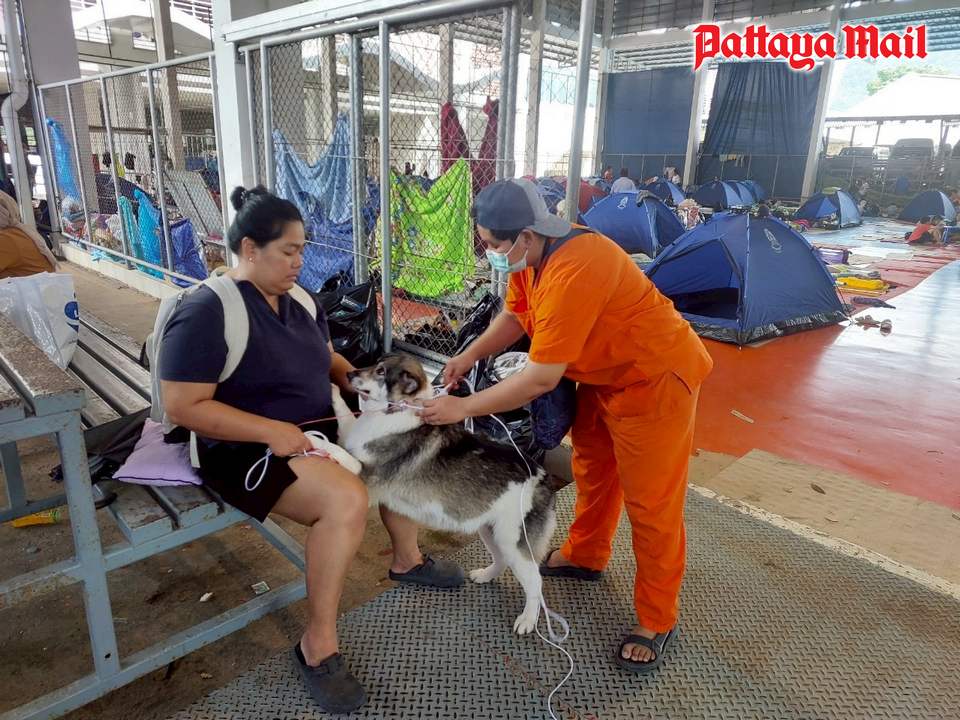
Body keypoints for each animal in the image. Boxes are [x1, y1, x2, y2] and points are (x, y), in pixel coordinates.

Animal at [331, 353, 557, 635]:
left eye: (381, 371)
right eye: (375, 364)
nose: (349, 374)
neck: (399, 412)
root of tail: (543, 477)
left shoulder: (366, 477)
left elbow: (336, 452)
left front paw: (310, 440)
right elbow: (344, 418)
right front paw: (333, 391)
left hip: (514, 541)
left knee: (536, 583)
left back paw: (527, 619)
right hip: (491, 532)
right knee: (502, 561)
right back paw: (485, 575)